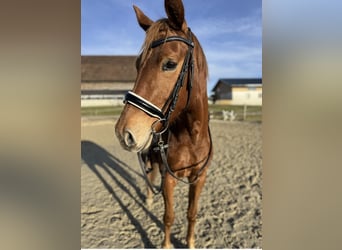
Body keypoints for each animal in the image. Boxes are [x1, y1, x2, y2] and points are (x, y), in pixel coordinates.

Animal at [115, 0, 211, 247]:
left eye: (169, 64)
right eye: (137, 65)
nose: (123, 132)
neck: (191, 137)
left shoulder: (199, 178)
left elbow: (191, 213)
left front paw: (190, 243)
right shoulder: (169, 178)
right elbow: (169, 216)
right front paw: (166, 245)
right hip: (148, 155)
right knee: (149, 176)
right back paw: (149, 199)